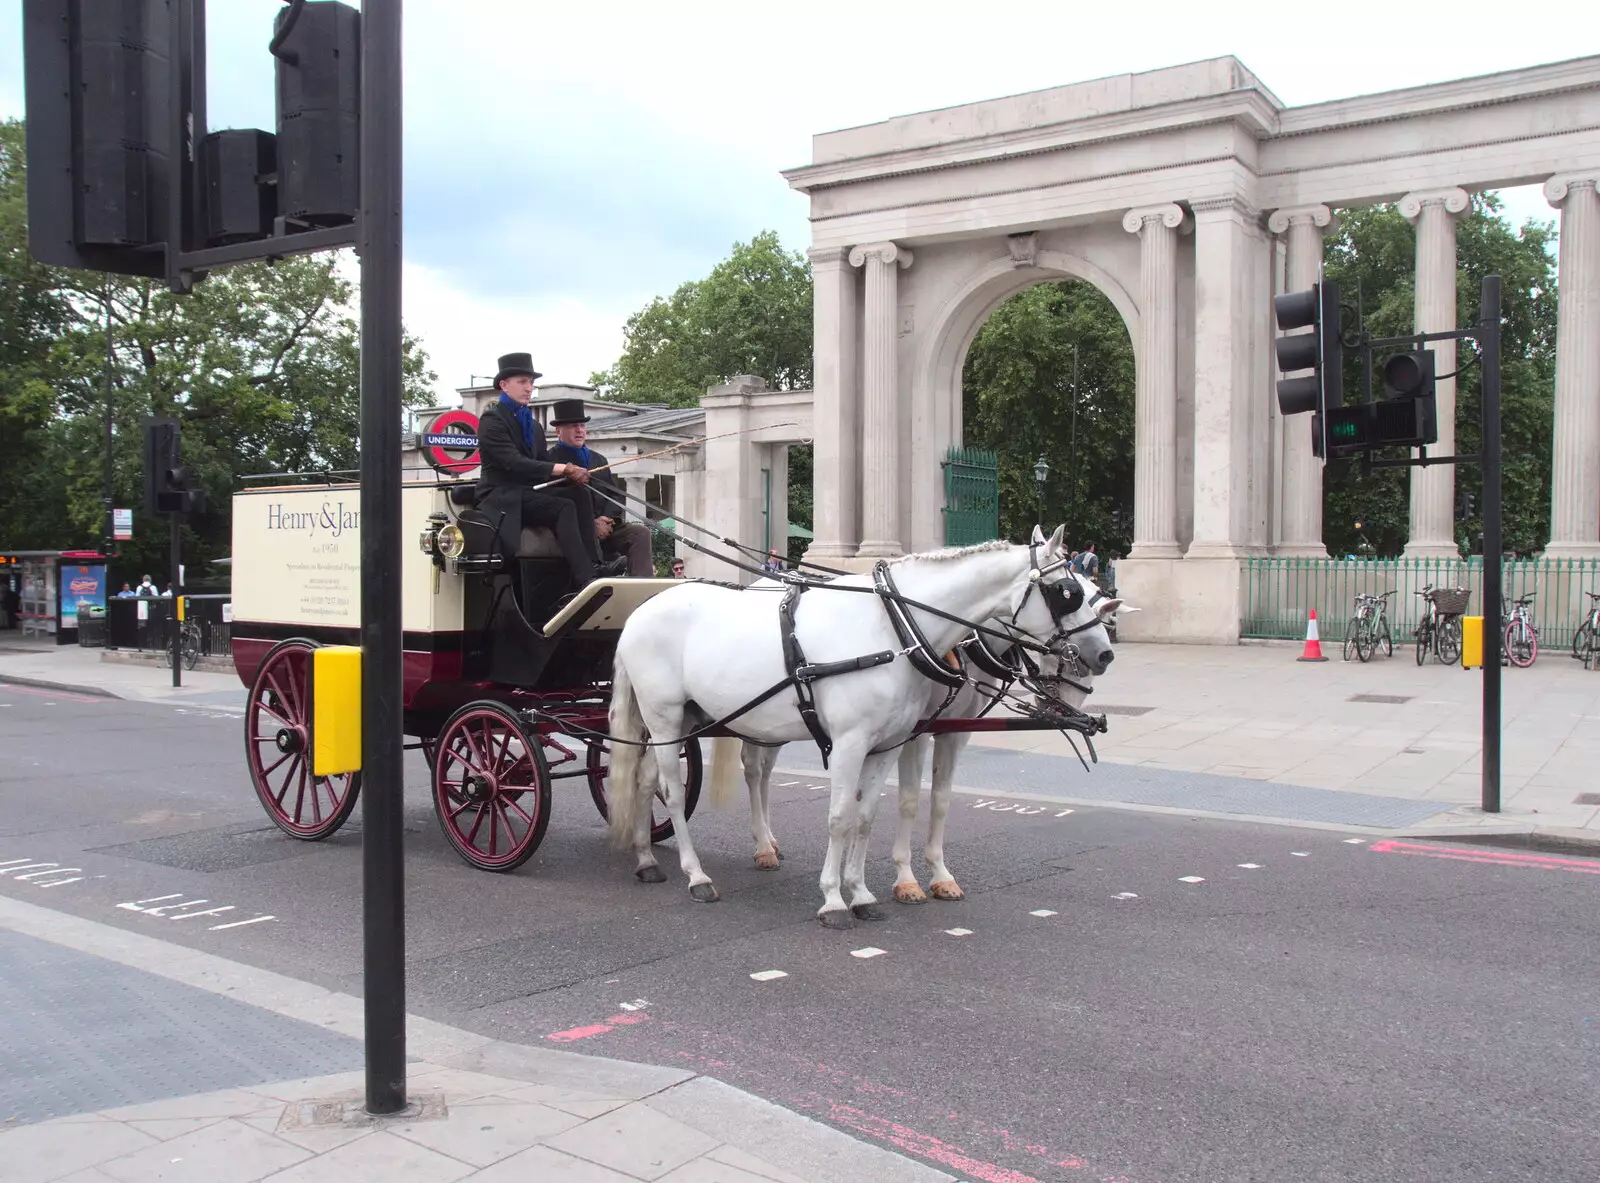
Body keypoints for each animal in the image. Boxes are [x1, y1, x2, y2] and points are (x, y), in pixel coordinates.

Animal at [611, 531, 1088, 928]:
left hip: (682, 720)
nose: (1093, 656)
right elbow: (839, 817)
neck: (893, 629)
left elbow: (865, 817)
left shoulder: (887, 745)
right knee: (673, 791)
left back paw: (646, 858)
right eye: (1068, 593)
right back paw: (696, 876)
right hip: (664, 714)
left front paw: (860, 893)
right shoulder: (849, 744)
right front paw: (833, 899)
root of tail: (639, 610)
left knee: (646, 779)